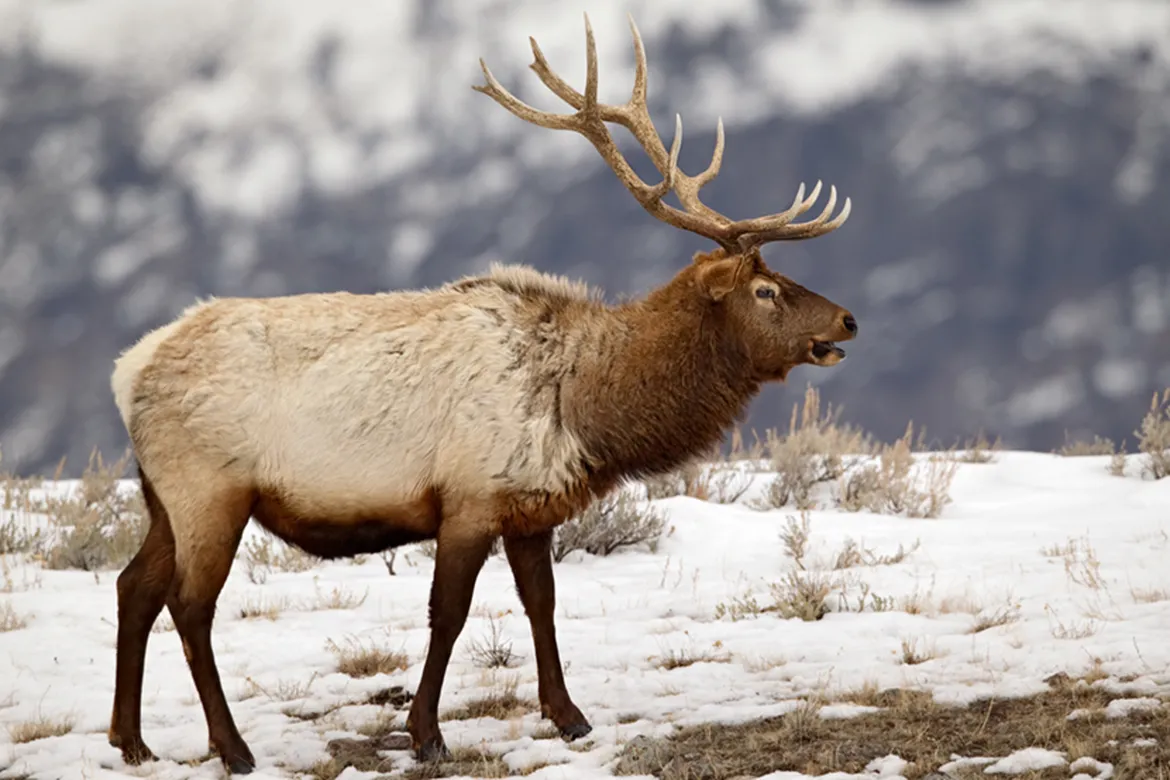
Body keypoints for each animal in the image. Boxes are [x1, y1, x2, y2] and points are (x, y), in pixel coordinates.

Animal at [106, 13, 858, 775]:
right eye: (765, 290)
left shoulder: (530, 508)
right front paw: (426, 734)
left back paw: (131, 740)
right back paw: (232, 748)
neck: (583, 406)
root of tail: (127, 369)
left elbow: (541, 604)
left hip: (164, 497)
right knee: (189, 606)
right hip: (210, 489)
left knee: (133, 587)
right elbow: (450, 614)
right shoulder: (467, 497)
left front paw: (569, 717)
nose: (847, 320)